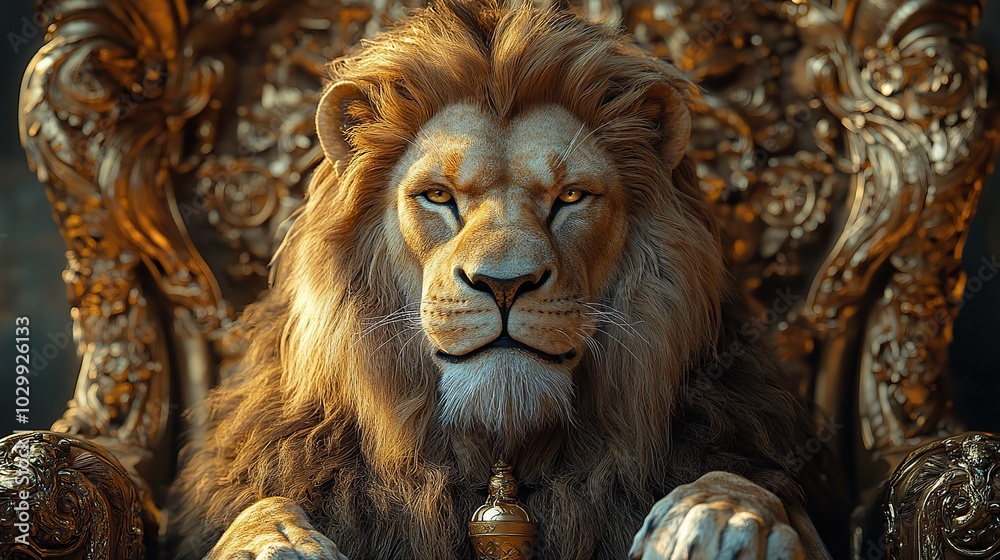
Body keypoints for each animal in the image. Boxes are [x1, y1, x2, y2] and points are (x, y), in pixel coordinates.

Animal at [168, 1, 847, 558]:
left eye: (570, 197)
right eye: (438, 196)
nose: (503, 285)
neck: (503, 453)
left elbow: (749, 483)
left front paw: (718, 519)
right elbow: (260, 509)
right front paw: (274, 543)